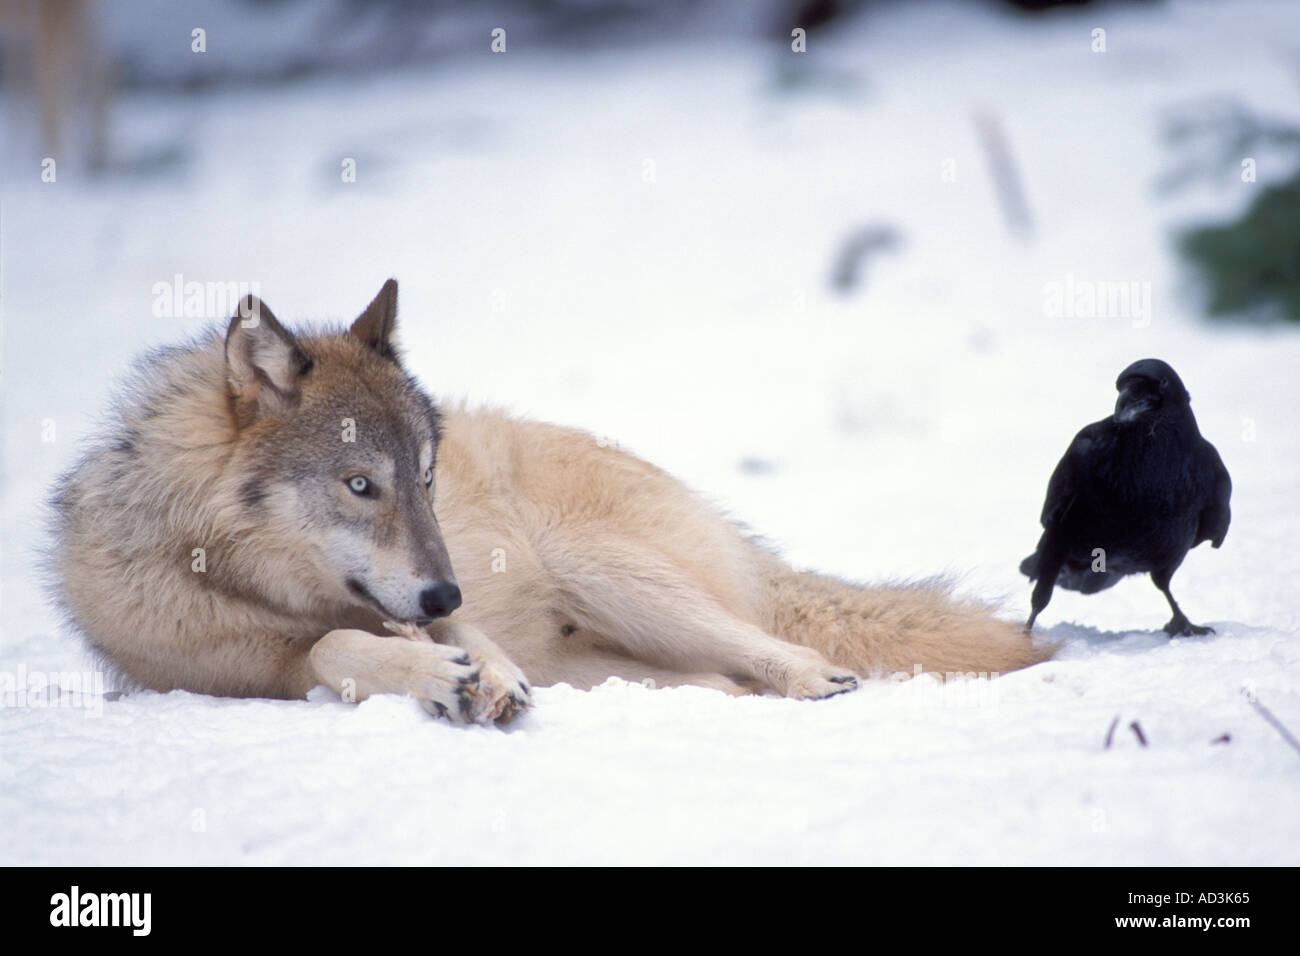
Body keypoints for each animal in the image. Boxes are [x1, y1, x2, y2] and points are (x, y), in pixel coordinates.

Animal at [50, 277, 1055, 723]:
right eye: (360, 484)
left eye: (425, 479)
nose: (448, 589)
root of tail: (744, 547)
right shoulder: (253, 672)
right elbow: (336, 647)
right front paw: (442, 676)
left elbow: (435, 639)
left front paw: (478, 674)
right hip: (615, 659)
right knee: (723, 684)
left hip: (602, 567)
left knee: (778, 647)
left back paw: (816, 680)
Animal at [1024, 358, 1227, 634]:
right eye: (1120, 386)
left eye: (1163, 382)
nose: (1125, 399)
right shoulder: (1061, 528)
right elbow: (1040, 598)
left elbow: (1165, 586)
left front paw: (1185, 623)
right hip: (1058, 539)